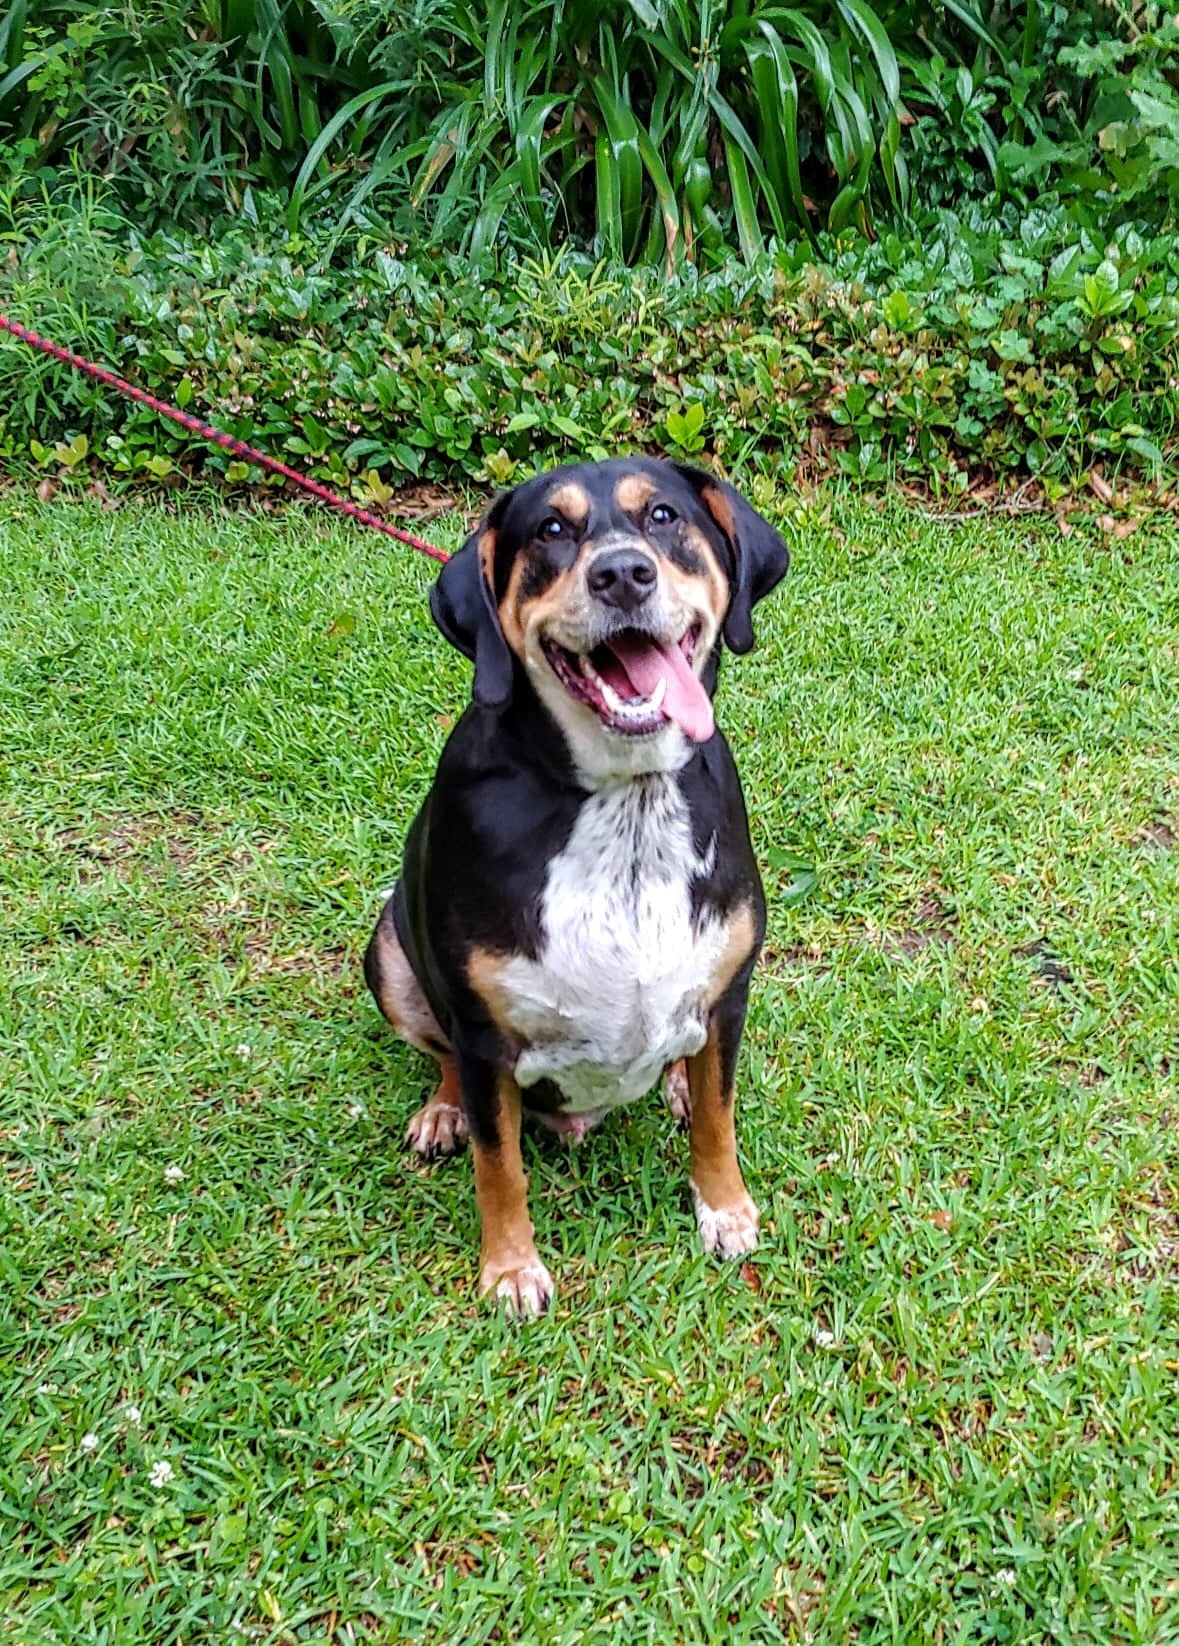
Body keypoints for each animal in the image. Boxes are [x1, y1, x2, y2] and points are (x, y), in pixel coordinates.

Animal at [365, 457, 793, 1316]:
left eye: (662, 516)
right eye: (551, 531)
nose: (622, 574)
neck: (625, 801)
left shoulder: (730, 990)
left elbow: (719, 1118)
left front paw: (723, 1207)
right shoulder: (484, 1033)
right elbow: (498, 1163)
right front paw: (508, 1269)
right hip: (387, 947)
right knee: (440, 1056)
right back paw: (442, 1112)